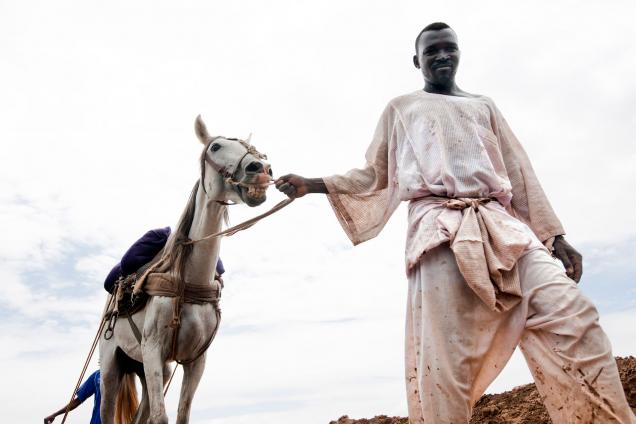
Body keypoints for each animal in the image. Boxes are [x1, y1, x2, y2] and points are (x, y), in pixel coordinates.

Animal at [98, 114, 272, 422]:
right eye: (215, 146)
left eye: (249, 146)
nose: (260, 168)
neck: (188, 279)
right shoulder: (153, 350)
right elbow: (161, 416)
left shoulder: (195, 360)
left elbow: (181, 414)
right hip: (111, 368)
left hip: (151, 368)